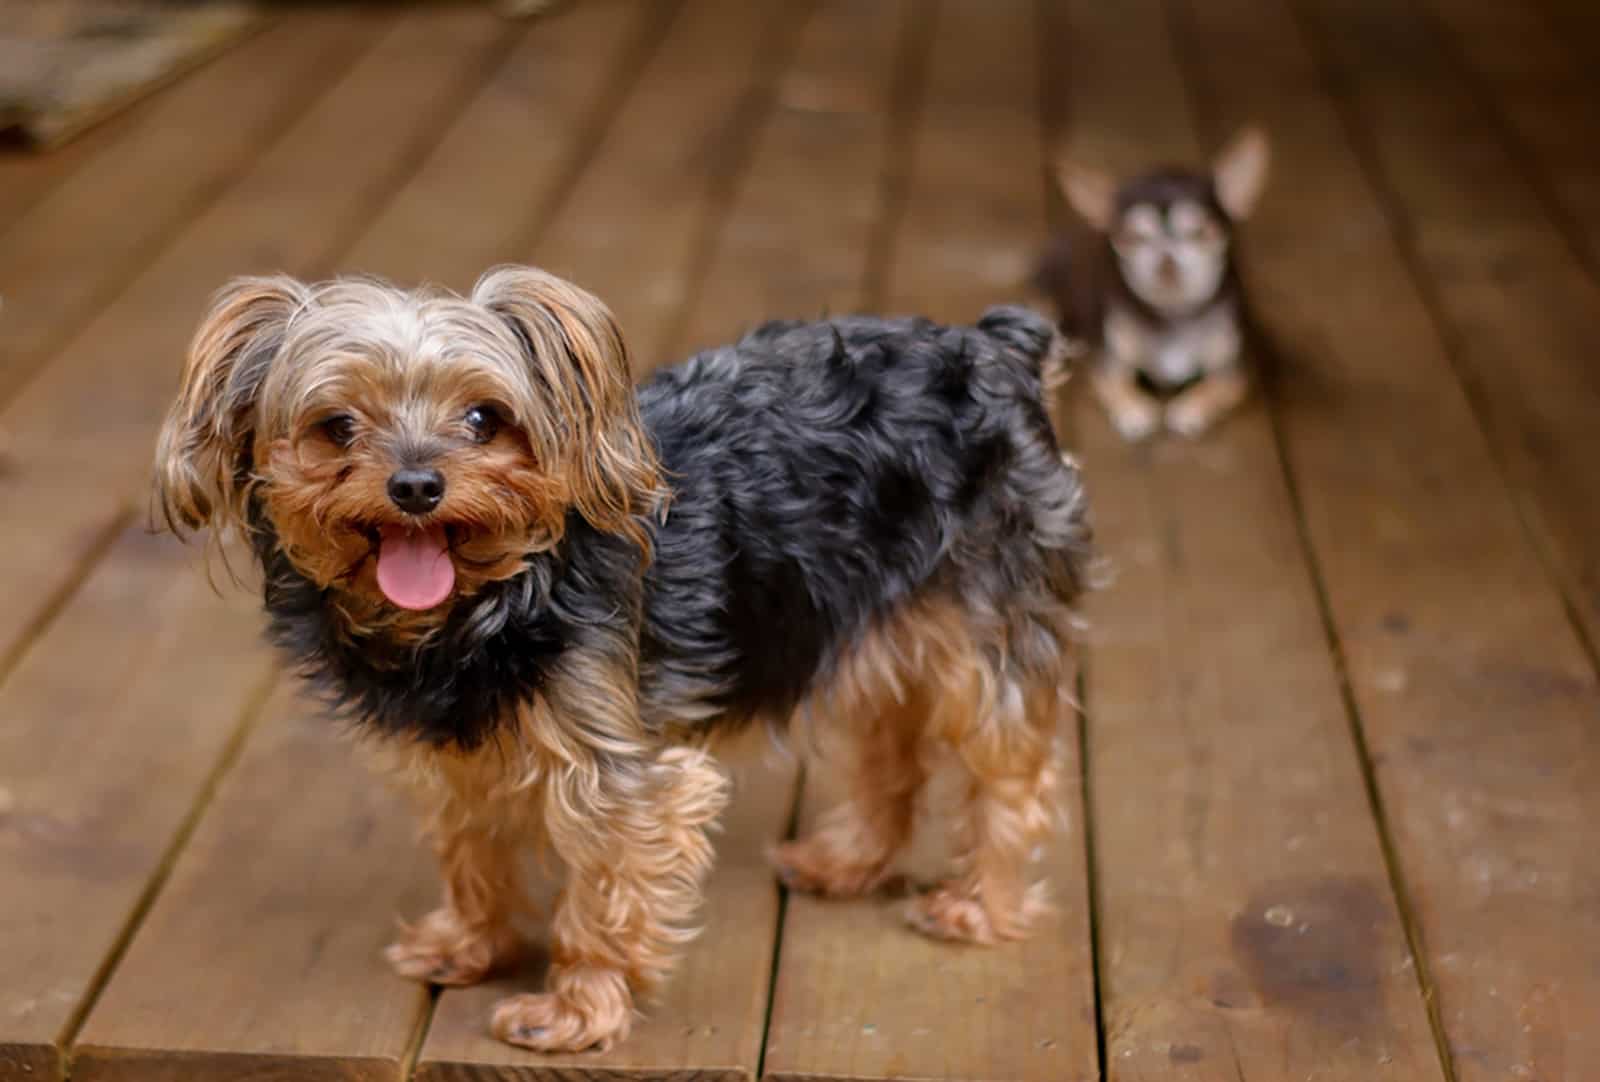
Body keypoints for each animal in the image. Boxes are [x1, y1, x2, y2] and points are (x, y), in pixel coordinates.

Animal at [150, 265, 1094, 1049]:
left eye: (484, 418)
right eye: (336, 426)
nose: (416, 485)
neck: (484, 606)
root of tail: (999, 345)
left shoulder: (617, 774)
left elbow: (602, 892)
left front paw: (573, 1010)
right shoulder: (459, 754)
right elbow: (470, 848)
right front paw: (468, 943)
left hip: (988, 617)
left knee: (1010, 767)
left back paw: (977, 907)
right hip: (862, 616)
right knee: (889, 745)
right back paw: (847, 861)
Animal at [1036, 128, 1273, 441]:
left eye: (1200, 232)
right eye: (1132, 238)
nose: (1166, 259)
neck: (1174, 313)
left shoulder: (1234, 371)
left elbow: (1215, 387)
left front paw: (1190, 409)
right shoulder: (1107, 364)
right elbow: (1117, 384)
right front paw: (1134, 410)